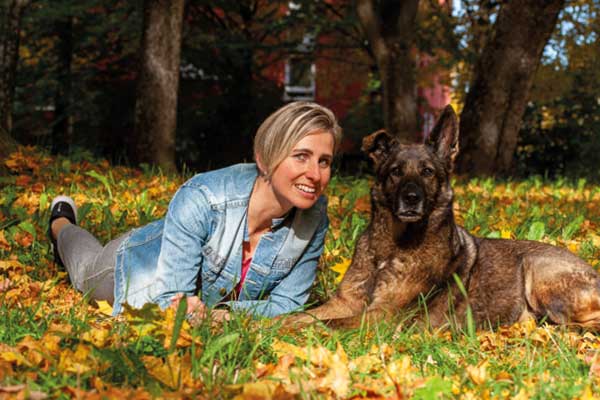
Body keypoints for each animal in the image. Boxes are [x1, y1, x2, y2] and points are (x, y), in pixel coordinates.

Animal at [284, 104, 600, 330]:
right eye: (396, 171)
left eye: (427, 172)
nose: (412, 199)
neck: (390, 250)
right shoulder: (344, 303)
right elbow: (298, 317)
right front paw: (271, 325)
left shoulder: (382, 316)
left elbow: (321, 326)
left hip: (539, 272)